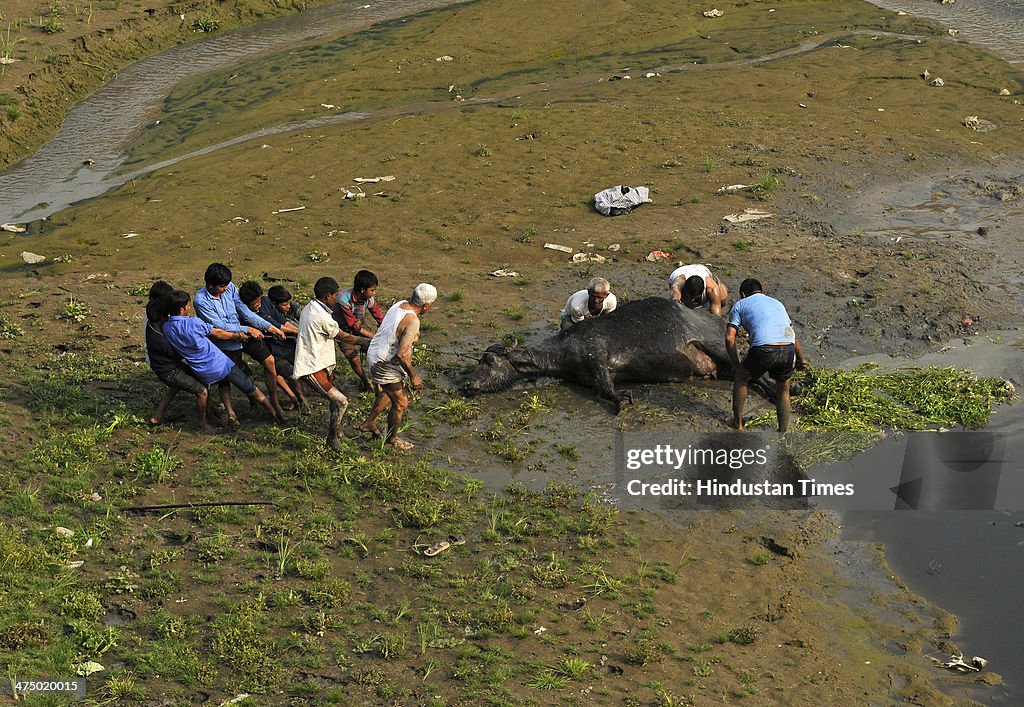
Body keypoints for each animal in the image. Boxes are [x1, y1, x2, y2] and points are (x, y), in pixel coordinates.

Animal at [464, 295, 770, 409]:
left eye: (490, 360)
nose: (467, 384)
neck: (562, 352)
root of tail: (719, 320)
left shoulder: (597, 356)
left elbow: (607, 388)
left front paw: (622, 400)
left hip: (719, 346)